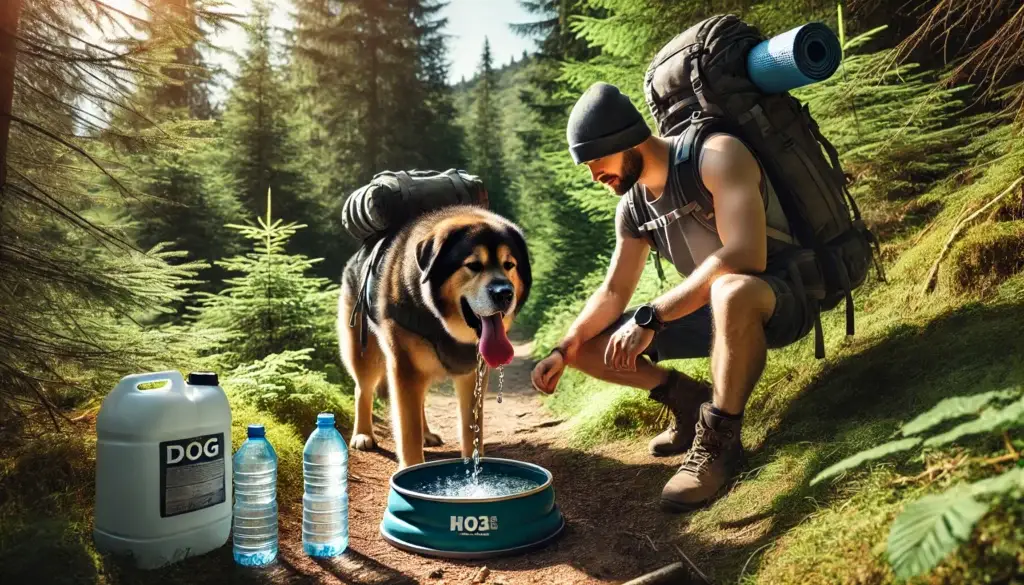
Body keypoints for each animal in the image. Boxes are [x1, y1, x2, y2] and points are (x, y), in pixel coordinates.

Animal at [335, 205, 532, 471]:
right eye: (473, 265)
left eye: (509, 264)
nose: (504, 294)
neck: (442, 324)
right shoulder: (404, 366)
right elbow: (408, 430)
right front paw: (410, 468)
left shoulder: (472, 373)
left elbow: (471, 429)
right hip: (365, 351)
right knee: (363, 389)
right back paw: (363, 434)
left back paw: (426, 433)